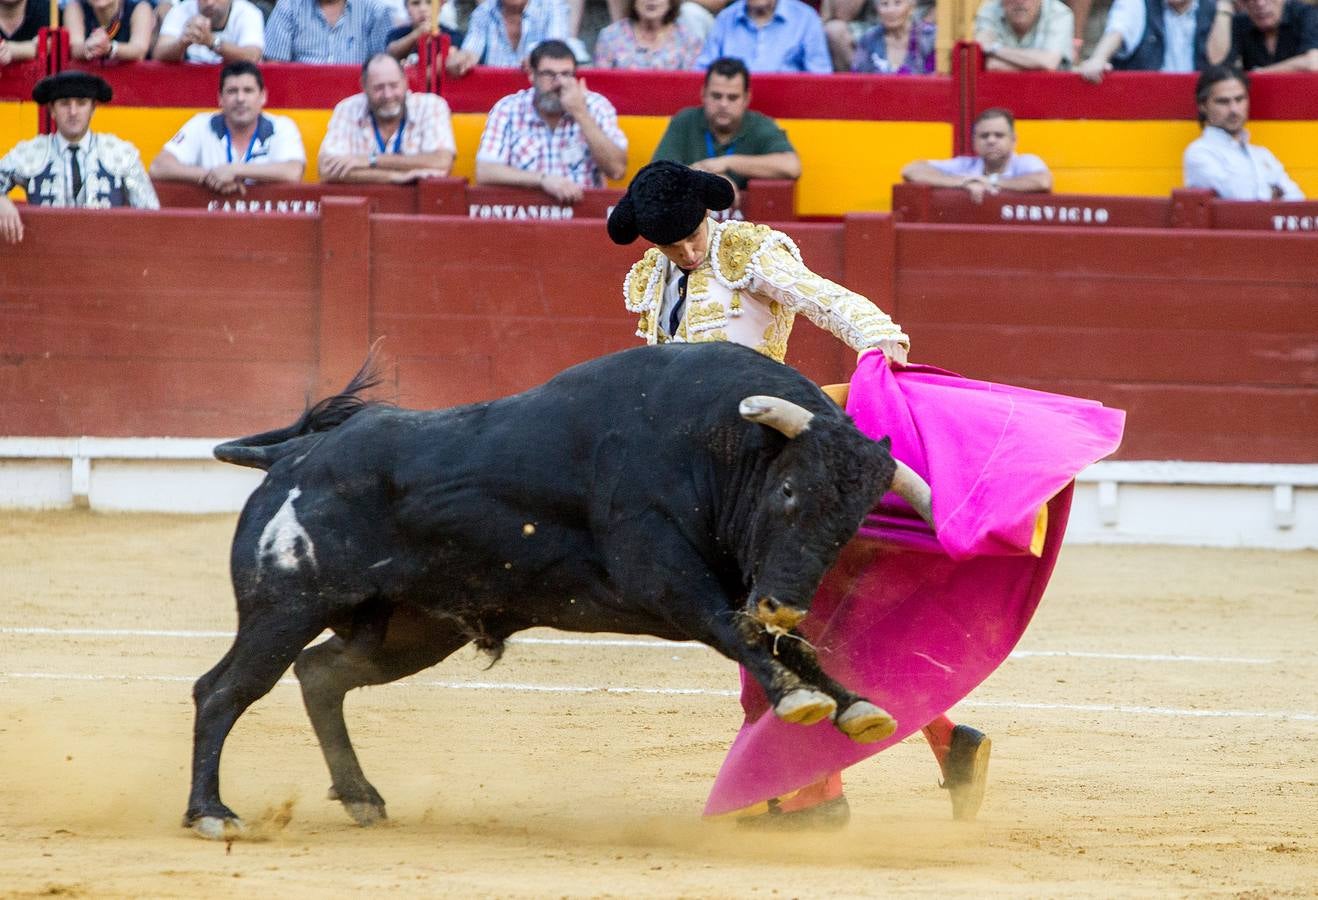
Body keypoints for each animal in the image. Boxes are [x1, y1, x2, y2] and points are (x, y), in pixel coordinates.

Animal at [185, 342, 933, 838]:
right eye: (787, 491)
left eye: (850, 524)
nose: (782, 601)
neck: (712, 447)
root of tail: (292, 457)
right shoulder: (667, 581)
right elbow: (736, 631)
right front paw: (804, 701)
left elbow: (796, 647)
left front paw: (857, 706)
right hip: (284, 605)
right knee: (223, 690)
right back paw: (213, 814)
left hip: (409, 631)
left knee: (321, 674)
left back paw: (362, 798)